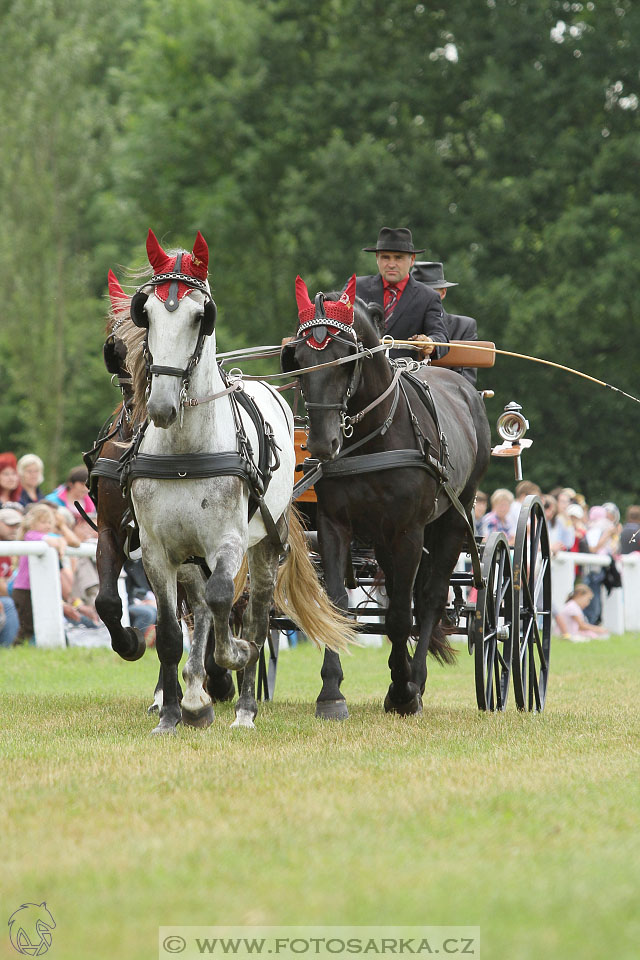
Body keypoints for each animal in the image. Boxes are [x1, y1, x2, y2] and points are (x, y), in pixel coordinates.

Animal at [282, 274, 492, 716]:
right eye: (300, 361)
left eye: (345, 359)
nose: (322, 444)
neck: (373, 433)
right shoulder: (334, 523)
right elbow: (337, 604)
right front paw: (331, 693)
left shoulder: (409, 530)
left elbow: (399, 616)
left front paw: (402, 690)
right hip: (381, 536)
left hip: (454, 517)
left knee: (428, 600)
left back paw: (416, 682)